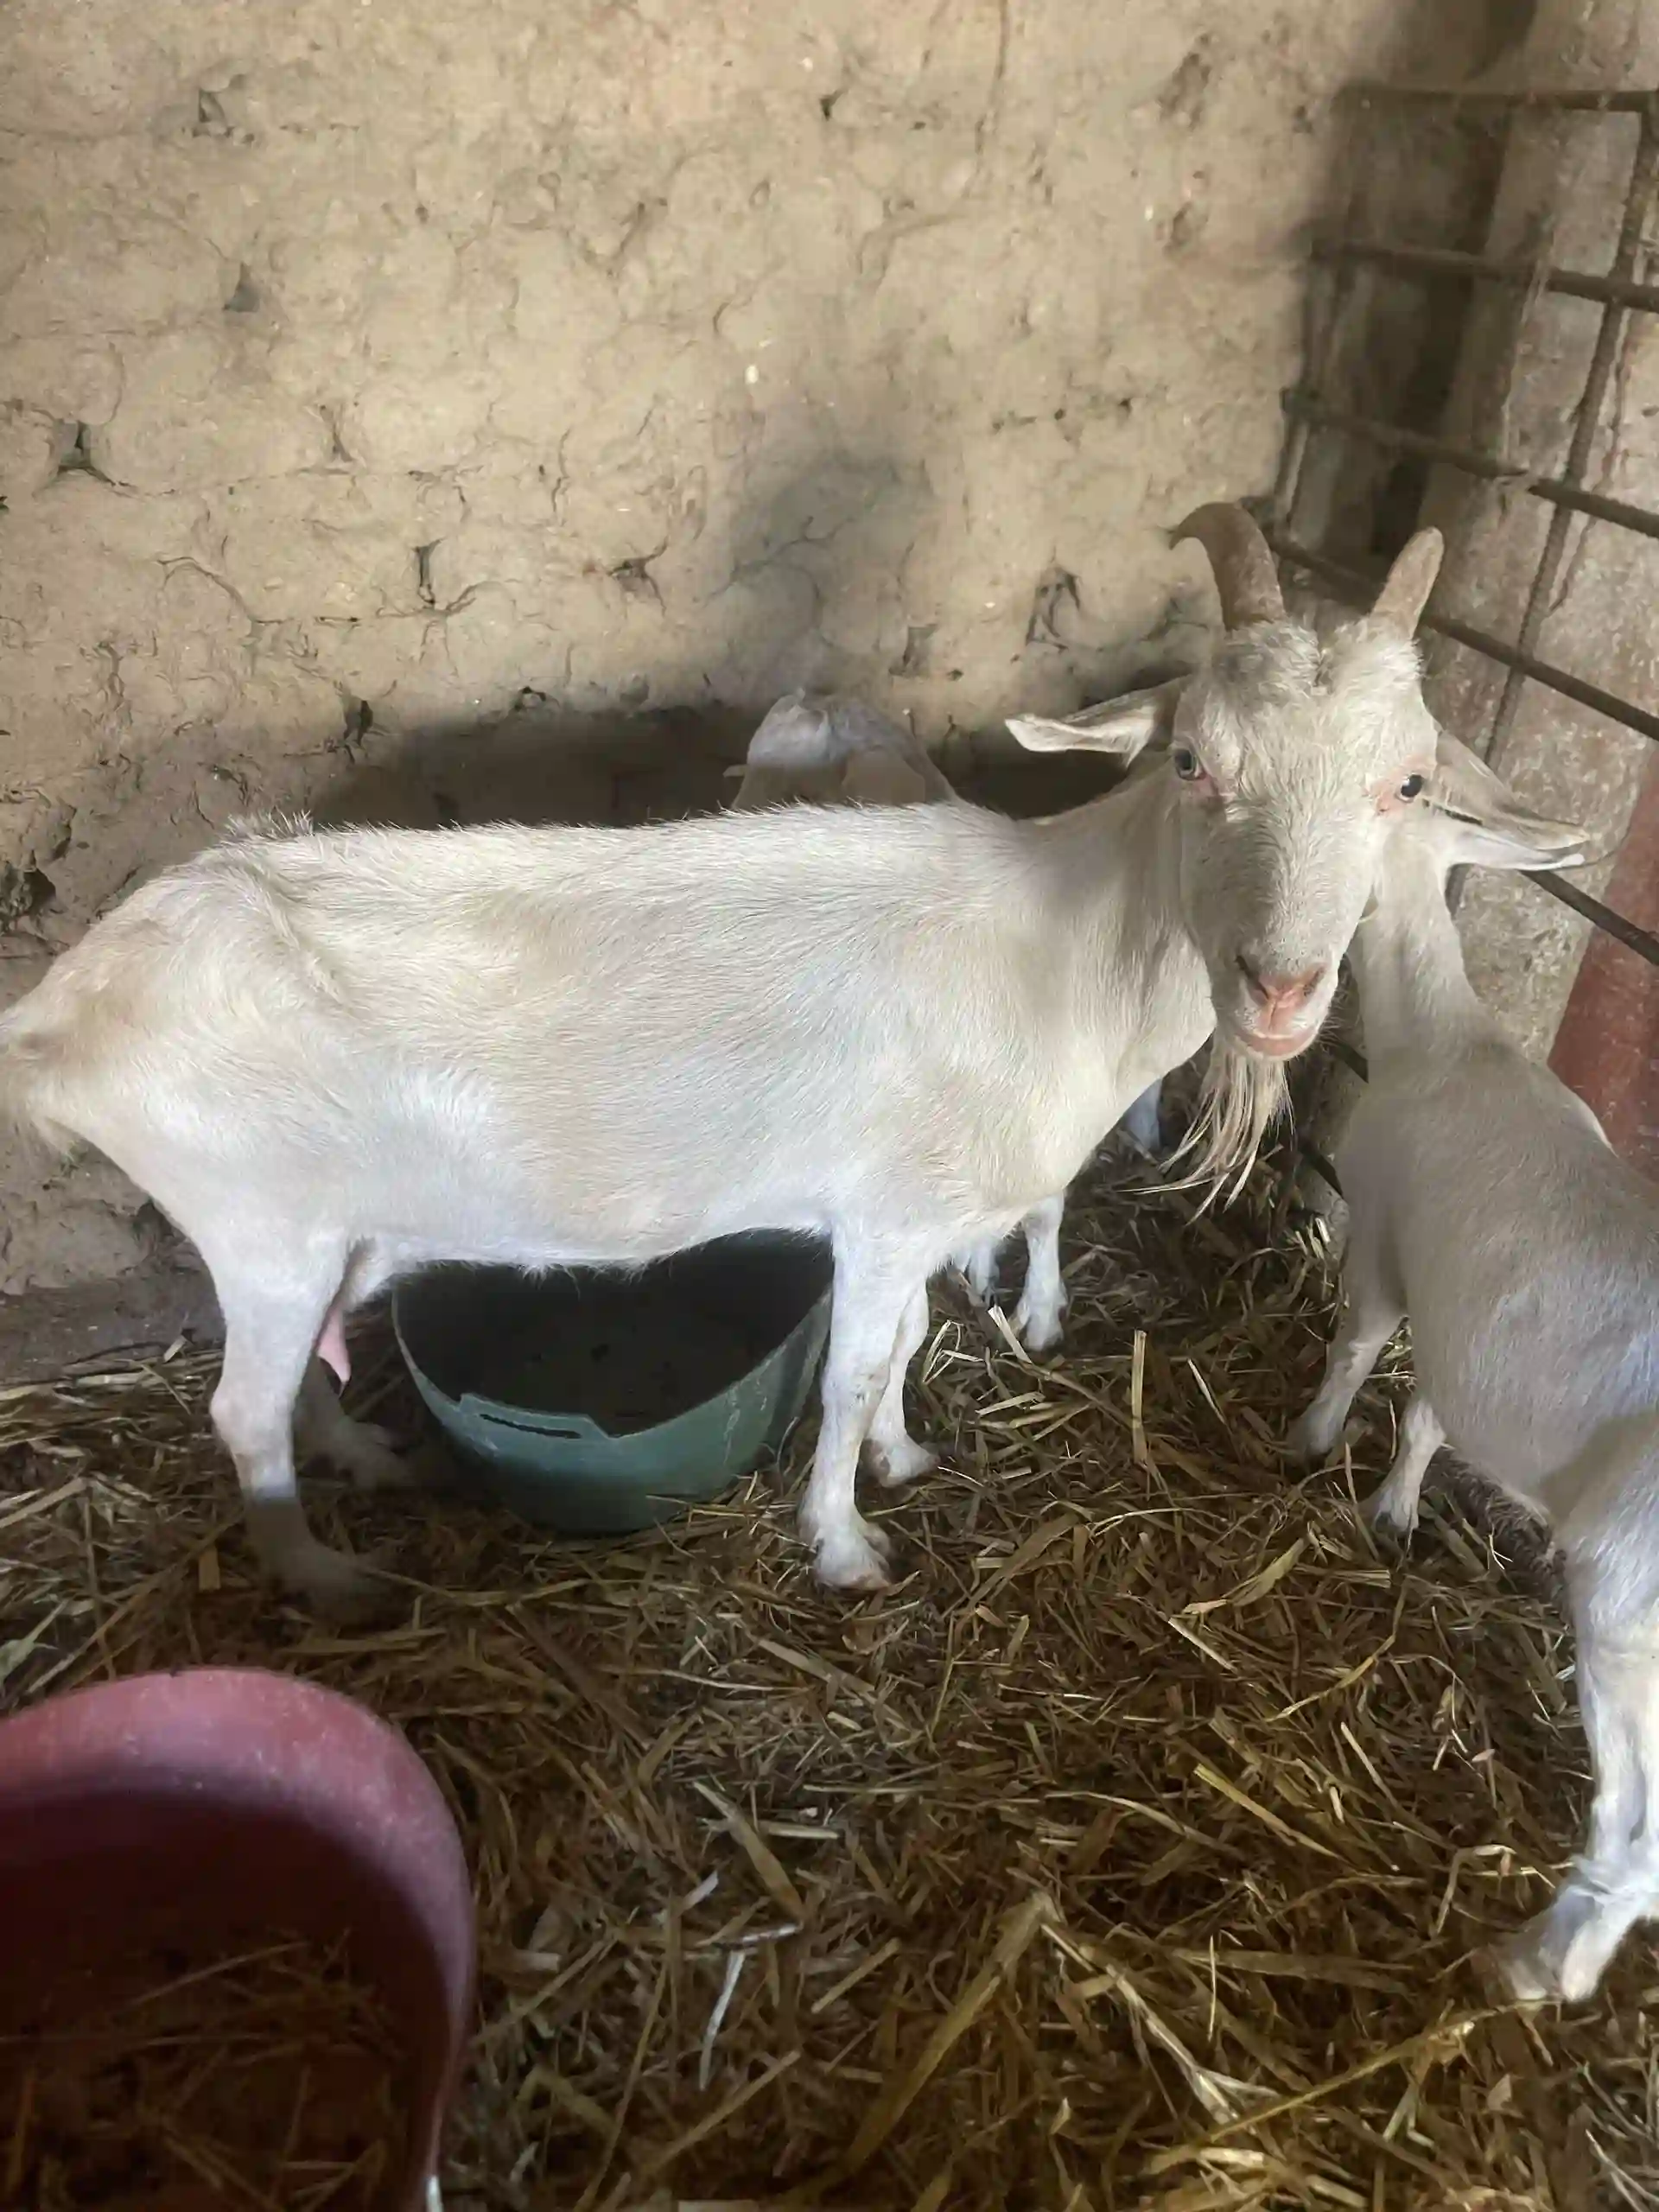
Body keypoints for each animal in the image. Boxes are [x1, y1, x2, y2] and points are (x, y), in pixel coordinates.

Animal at [1286, 747, 1659, 2001]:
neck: (1446, 1038)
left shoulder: (1383, 1239)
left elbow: (1358, 1349)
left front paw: (1307, 1440)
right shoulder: (1463, 1321)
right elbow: (1428, 1420)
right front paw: (1394, 1513)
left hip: (1631, 1613)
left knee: (1635, 1841)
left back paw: (1537, 1966)